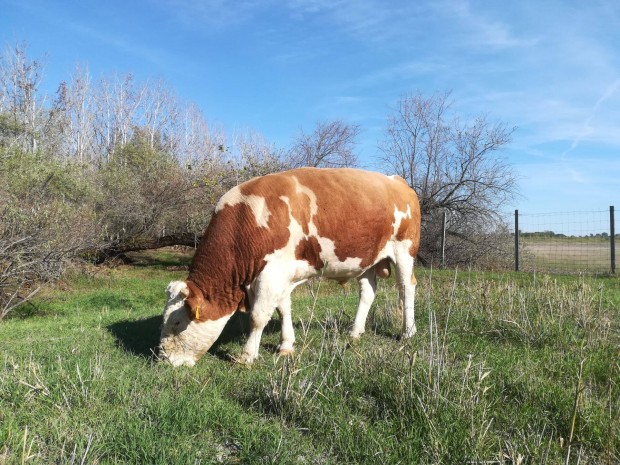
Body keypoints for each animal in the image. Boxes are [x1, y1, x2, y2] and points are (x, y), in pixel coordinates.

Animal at [159, 167, 422, 366]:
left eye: (176, 323)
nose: (162, 359)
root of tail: (396, 180)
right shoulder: (281, 275)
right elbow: (283, 309)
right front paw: (286, 345)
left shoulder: (271, 274)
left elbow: (258, 317)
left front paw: (246, 356)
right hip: (367, 260)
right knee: (367, 292)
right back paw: (355, 332)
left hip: (404, 250)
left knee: (406, 288)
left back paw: (408, 332)